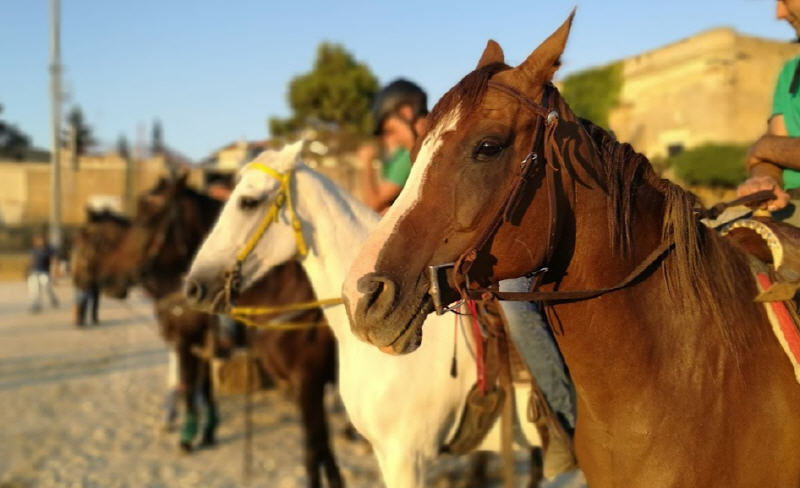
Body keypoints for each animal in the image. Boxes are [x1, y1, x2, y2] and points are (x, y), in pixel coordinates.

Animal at [96, 175, 344, 488]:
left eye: (148, 219)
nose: (108, 282)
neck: (286, 293)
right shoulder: (201, 344)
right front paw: (204, 432)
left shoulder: (308, 382)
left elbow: (314, 452)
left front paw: (189, 437)